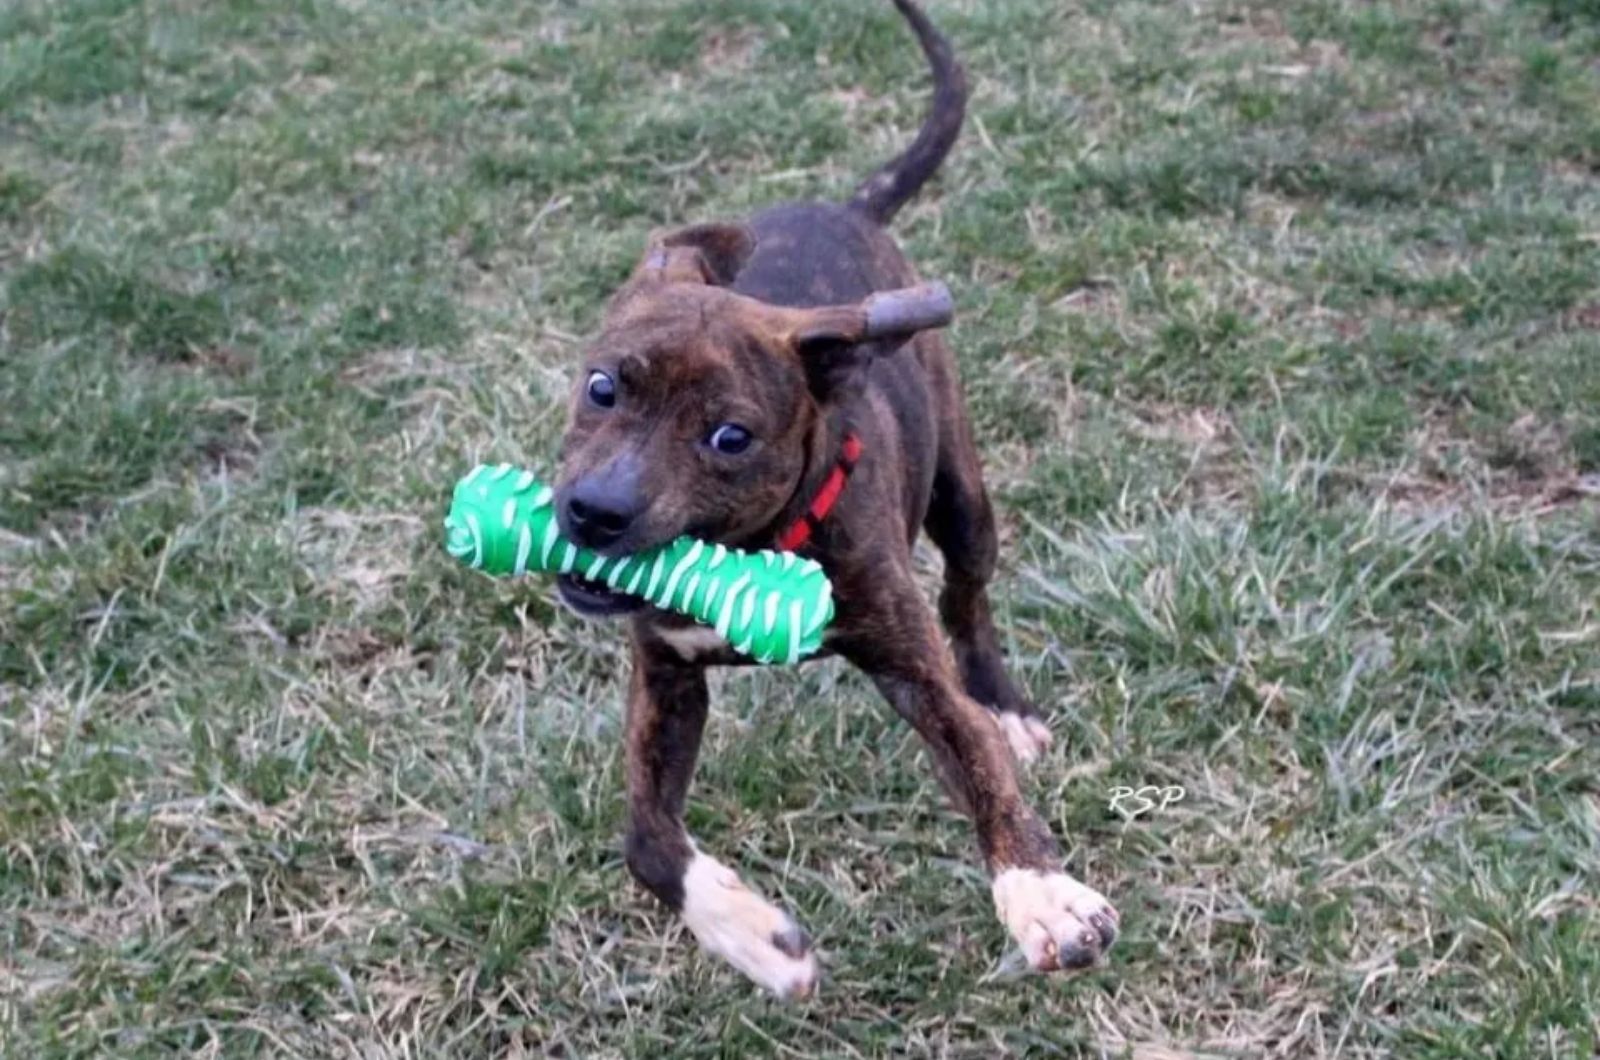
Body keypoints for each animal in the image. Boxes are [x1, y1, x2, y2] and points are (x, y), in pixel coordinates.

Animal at [550, 0, 1113, 999]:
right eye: (604, 387)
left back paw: (1007, 707)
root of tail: (847, 209)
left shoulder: (913, 671)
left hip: (964, 500)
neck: (742, 553)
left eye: (730, 438)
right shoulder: (665, 675)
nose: (595, 512)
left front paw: (1041, 893)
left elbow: (977, 764)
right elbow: (645, 838)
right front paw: (753, 940)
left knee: (967, 599)